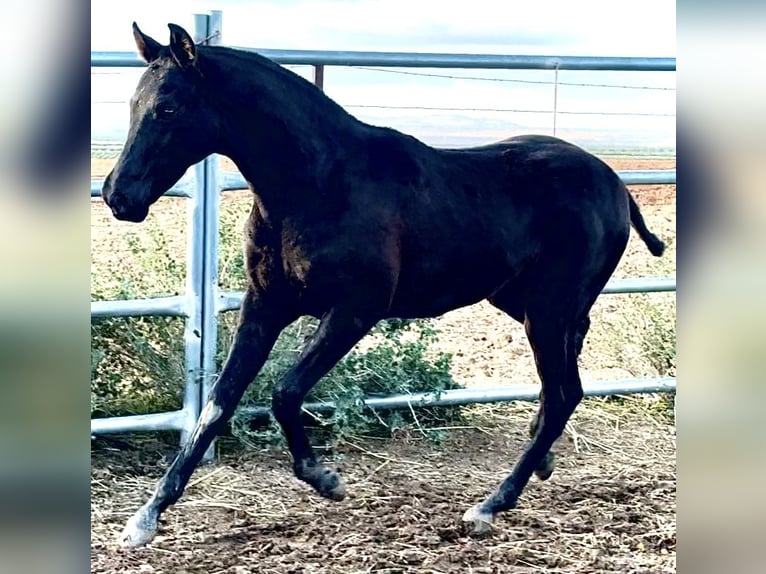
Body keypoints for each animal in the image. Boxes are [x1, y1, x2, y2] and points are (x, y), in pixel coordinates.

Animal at [101, 22, 666, 548]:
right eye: (133, 104)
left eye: (167, 108)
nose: (117, 195)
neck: (318, 185)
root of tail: (617, 186)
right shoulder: (264, 305)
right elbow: (218, 403)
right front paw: (144, 519)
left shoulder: (355, 308)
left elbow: (285, 391)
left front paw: (326, 479)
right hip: (526, 303)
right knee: (566, 375)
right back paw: (539, 459)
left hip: (545, 310)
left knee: (565, 390)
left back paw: (490, 505)